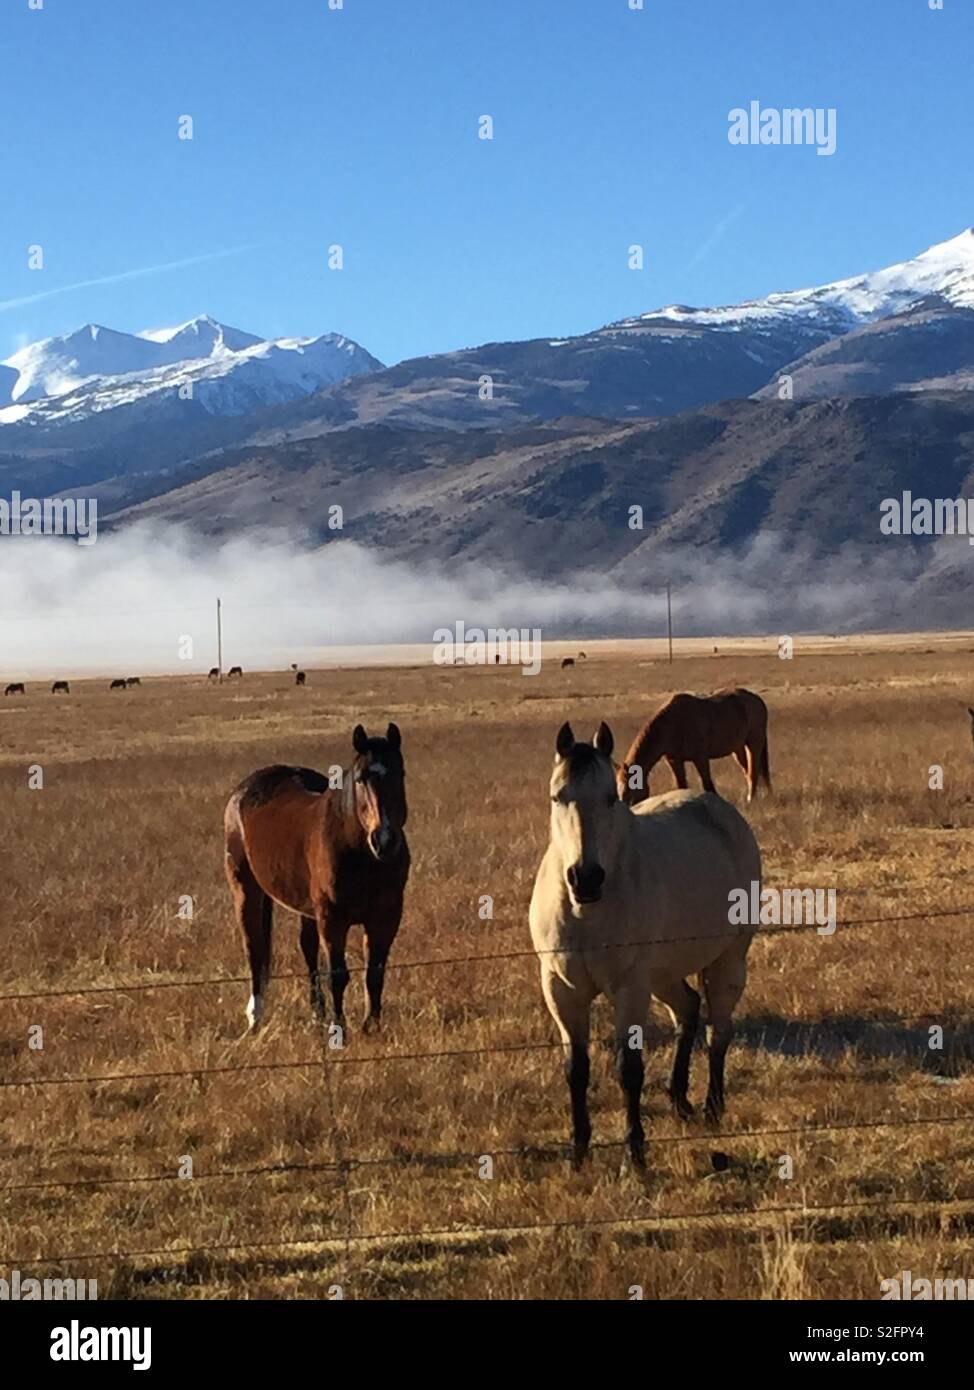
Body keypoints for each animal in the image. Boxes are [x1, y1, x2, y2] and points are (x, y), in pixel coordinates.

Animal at [224, 722, 409, 1034]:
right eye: (360, 779)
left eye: (400, 773)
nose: (384, 840)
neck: (362, 856)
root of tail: (243, 791)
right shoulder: (332, 920)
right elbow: (338, 975)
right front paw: (339, 1027)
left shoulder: (385, 917)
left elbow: (374, 972)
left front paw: (371, 1026)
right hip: (245, 890)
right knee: (254, 948)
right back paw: (255, 1017)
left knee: (307, 949)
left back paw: (316, 1013)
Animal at [529, 721, 760, 1169]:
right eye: (557, 796)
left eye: (610, 797)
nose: (586, 878)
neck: (586, 912)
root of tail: (717, 808)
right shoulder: (560, 989)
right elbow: (576, 1068)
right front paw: (578, 1153)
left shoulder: (629, 987)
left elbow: (628, 1068)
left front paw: (633, 1154)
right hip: (663, 975)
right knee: (687, 1010)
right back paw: (678, 1099)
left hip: (727, 960)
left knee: (718, 1030)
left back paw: (712, 1107)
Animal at [618, 687, 770, 804]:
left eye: (632, 788)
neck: (671, 725)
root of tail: (758, 700)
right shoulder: (674, 761)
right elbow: (681, 786)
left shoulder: (700, 758)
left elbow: (707, 785)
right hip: (738, 749)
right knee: (748, 771)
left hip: (754, 744)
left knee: (753, 772)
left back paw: (751, 800)